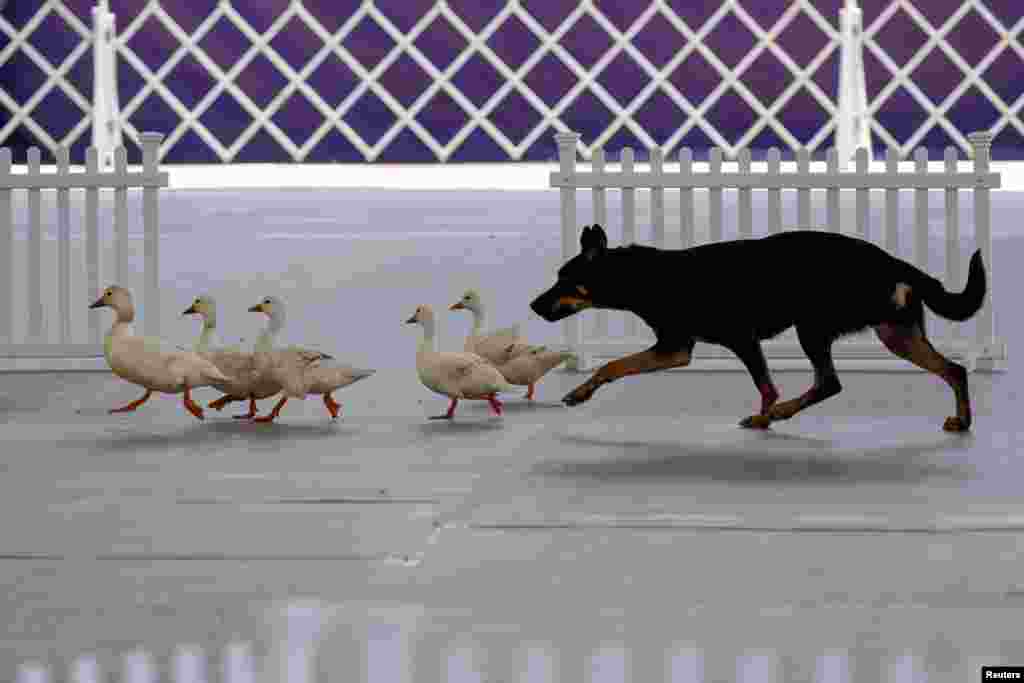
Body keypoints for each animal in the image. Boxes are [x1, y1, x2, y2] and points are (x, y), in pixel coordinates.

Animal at [528, 223, 983, 432]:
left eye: (565, 281)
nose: (533, 305)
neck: (647, 276)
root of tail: (893, 262)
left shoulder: (687, 346)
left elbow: (613, 366)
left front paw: (580, 392)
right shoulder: (721, 344)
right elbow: (766, 386)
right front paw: (764, 417)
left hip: (813, 327)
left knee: (829, 382)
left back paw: (781, 413)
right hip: (896, 334)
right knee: (954, 370)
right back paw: (962, 420)